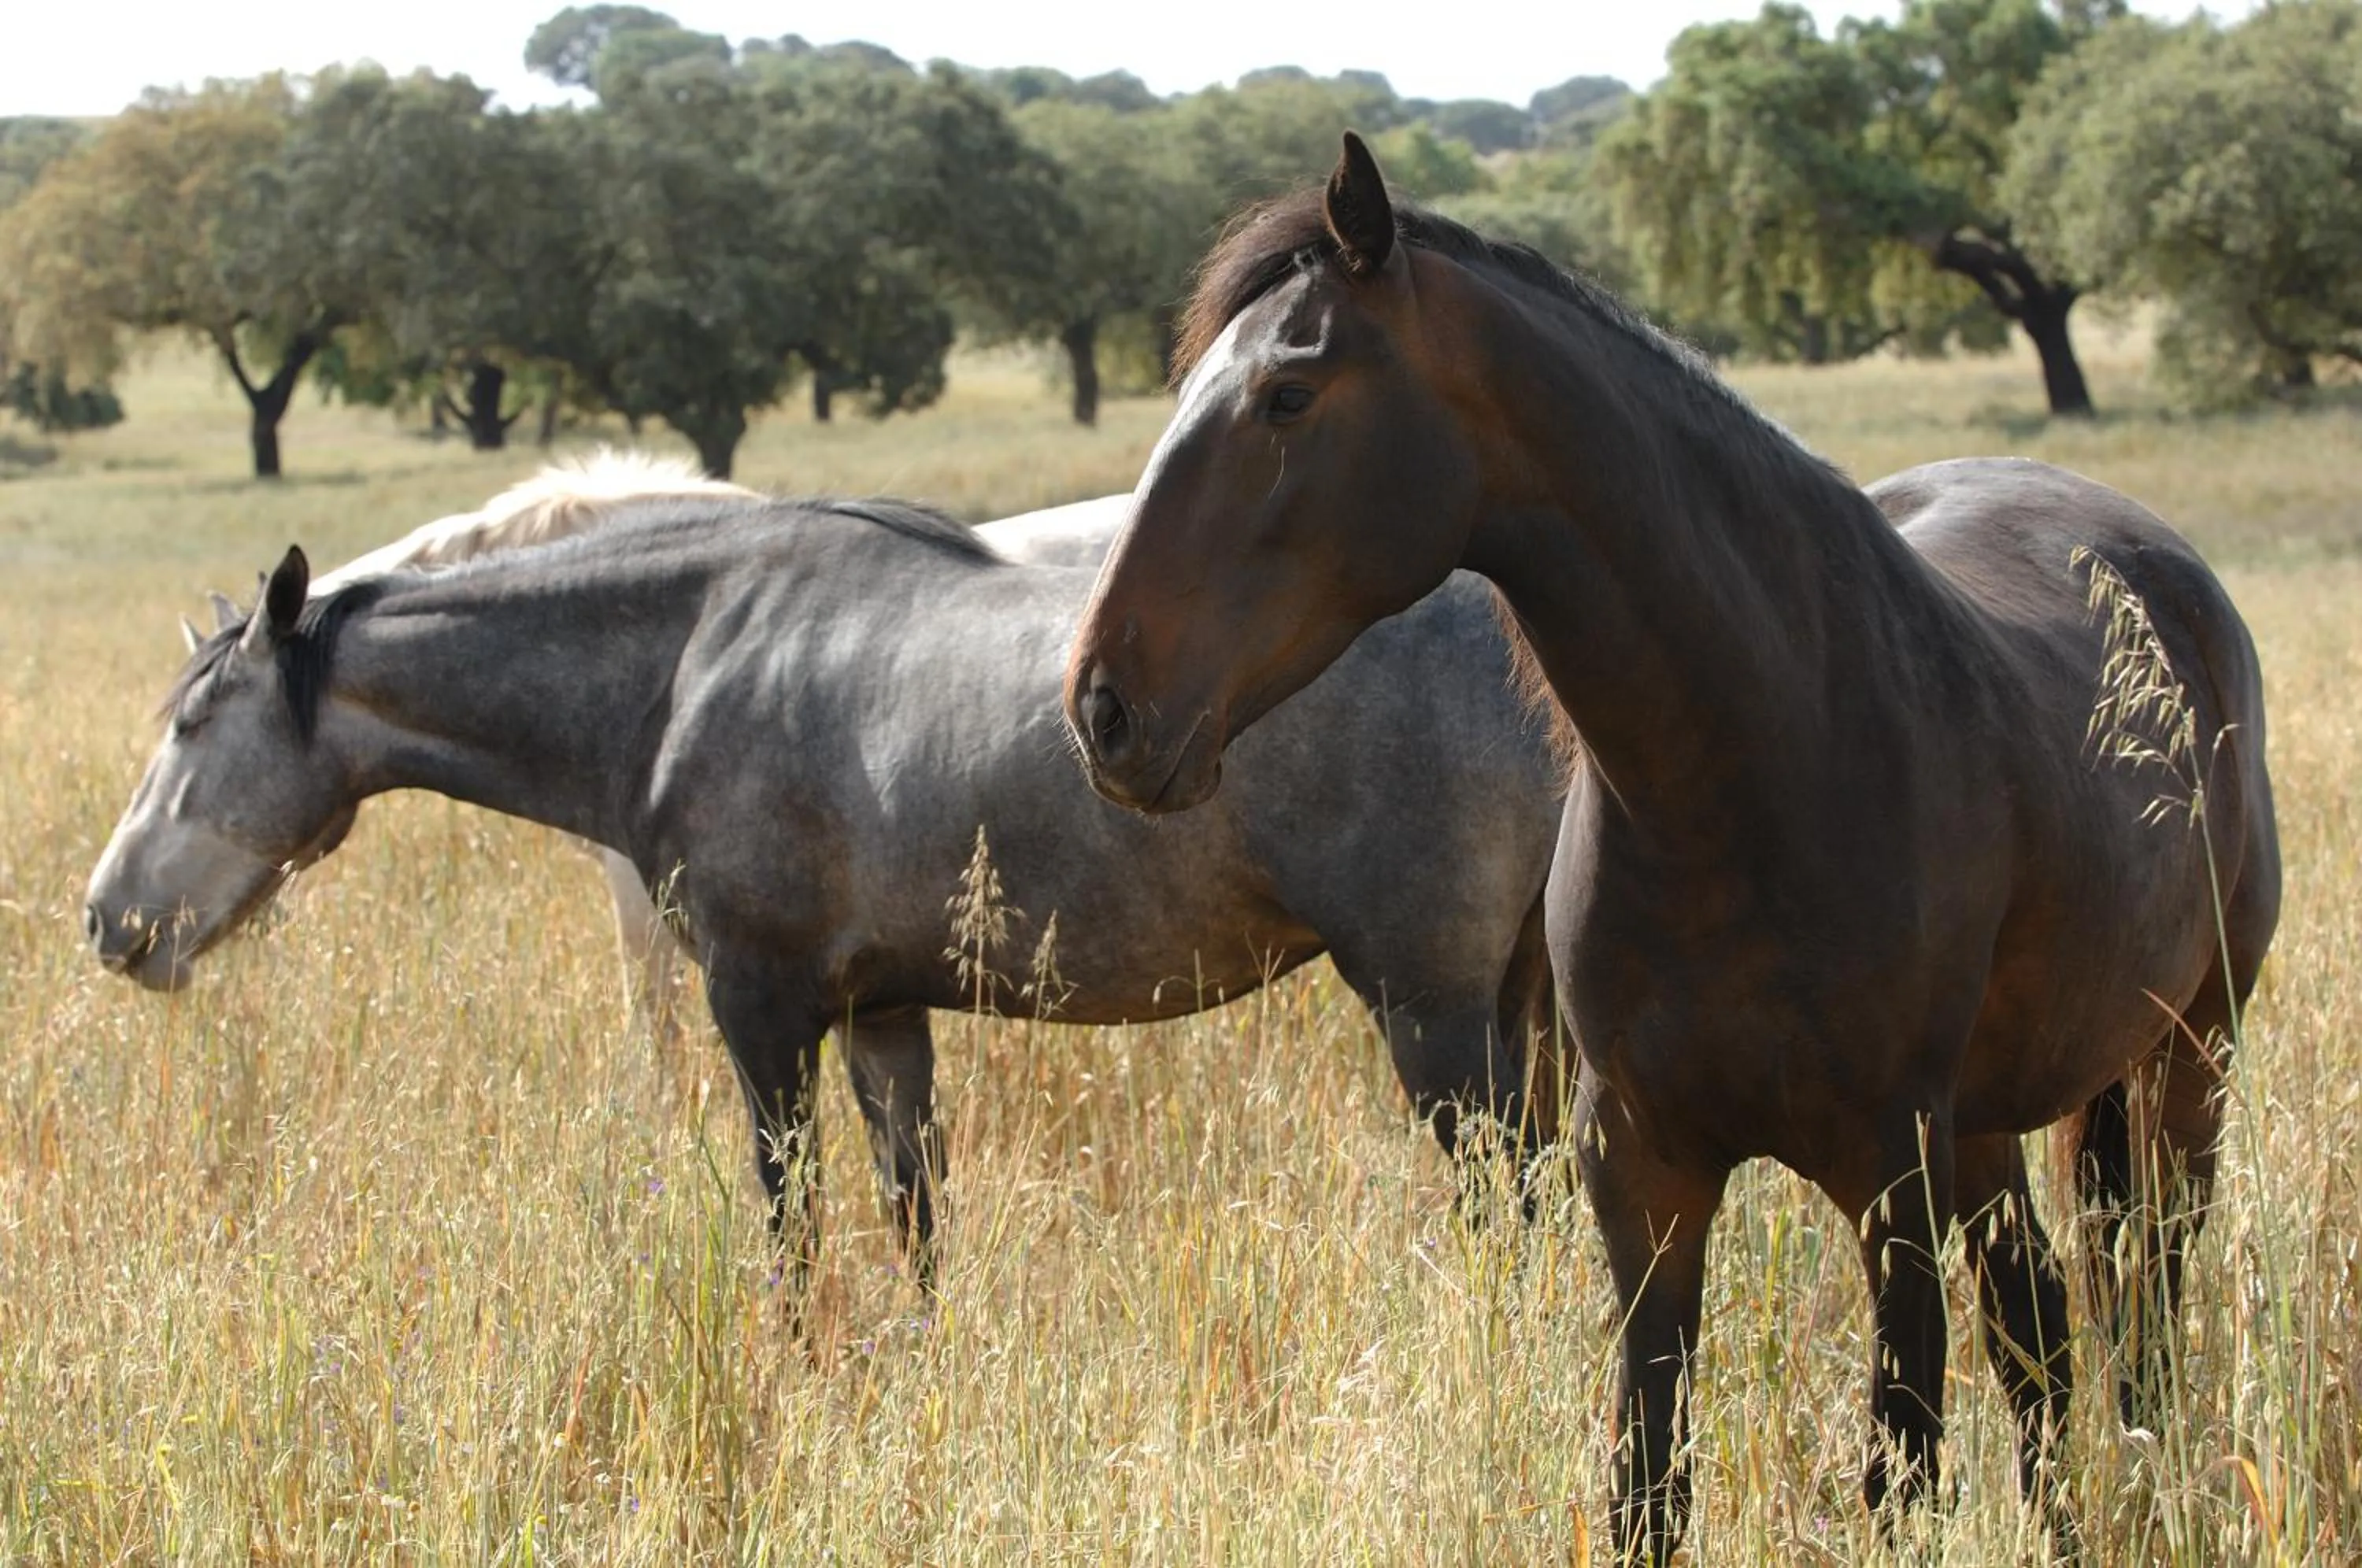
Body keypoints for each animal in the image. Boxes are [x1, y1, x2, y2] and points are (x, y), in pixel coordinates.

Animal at [1061, 135, 2279, 1559]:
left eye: (1288, 395)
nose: (1104, 706)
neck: (1758, 770)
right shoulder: (1644, 1171)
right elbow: (1648, 1482)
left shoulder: (1889, 1179)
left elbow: (1900, 1475)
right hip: (1990, 1124)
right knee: (2040, 1324)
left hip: (2184, 1063)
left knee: (2144, 1315)